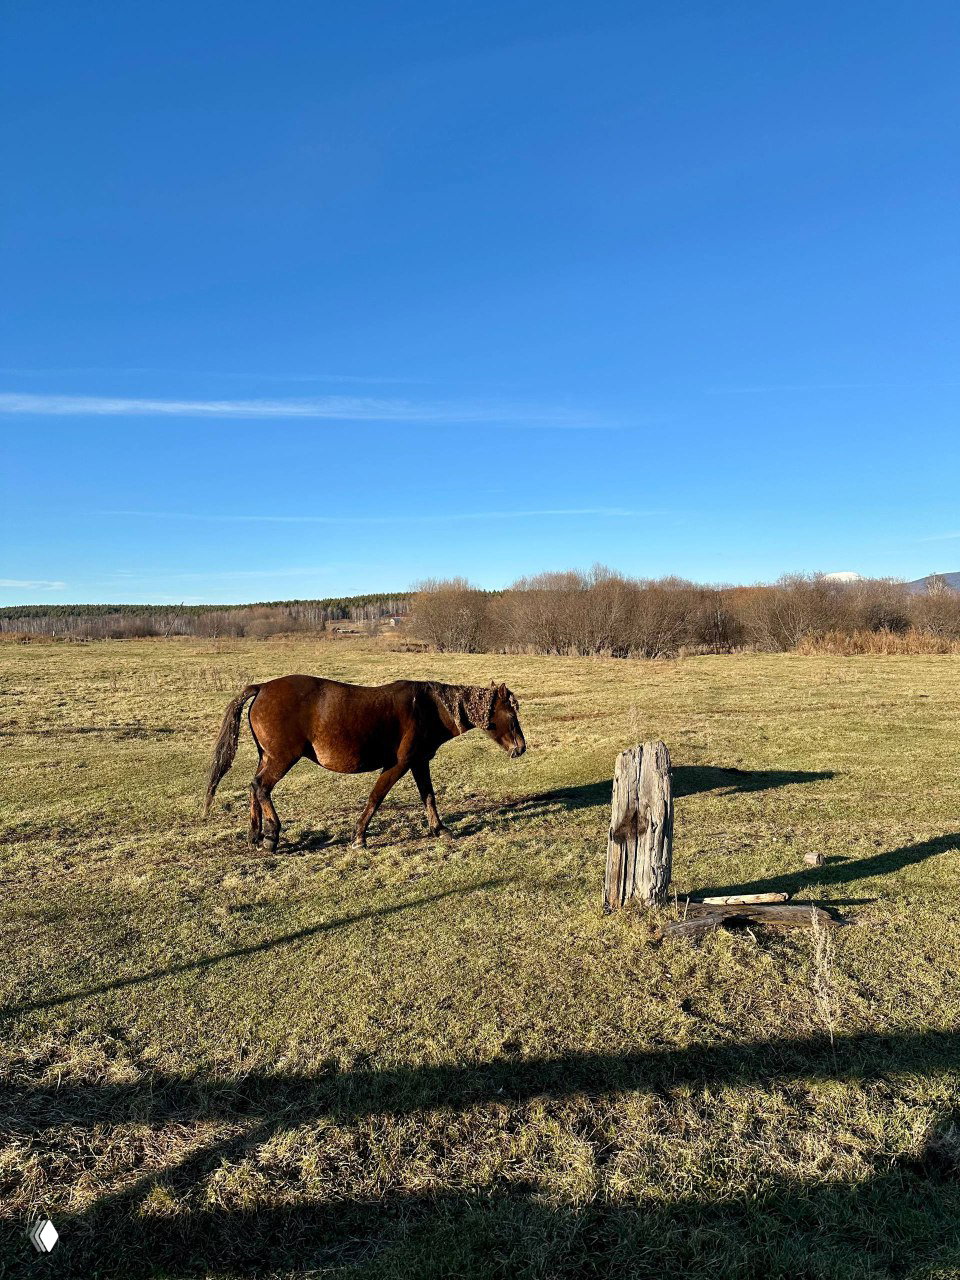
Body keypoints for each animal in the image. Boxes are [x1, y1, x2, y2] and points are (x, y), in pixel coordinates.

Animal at [203, 675, 526, 851]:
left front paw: (440, 829)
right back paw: (271, 836)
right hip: (282, 759)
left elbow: (429, 797)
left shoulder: (419, 762)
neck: (429, 708)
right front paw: (358, 836)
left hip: (268, 757)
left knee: (254, 788)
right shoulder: (398, 764)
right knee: (261, 787)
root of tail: (262, 687)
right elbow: (376, 797)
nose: (521, 748)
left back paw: (255, 835)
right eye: (511, 714)